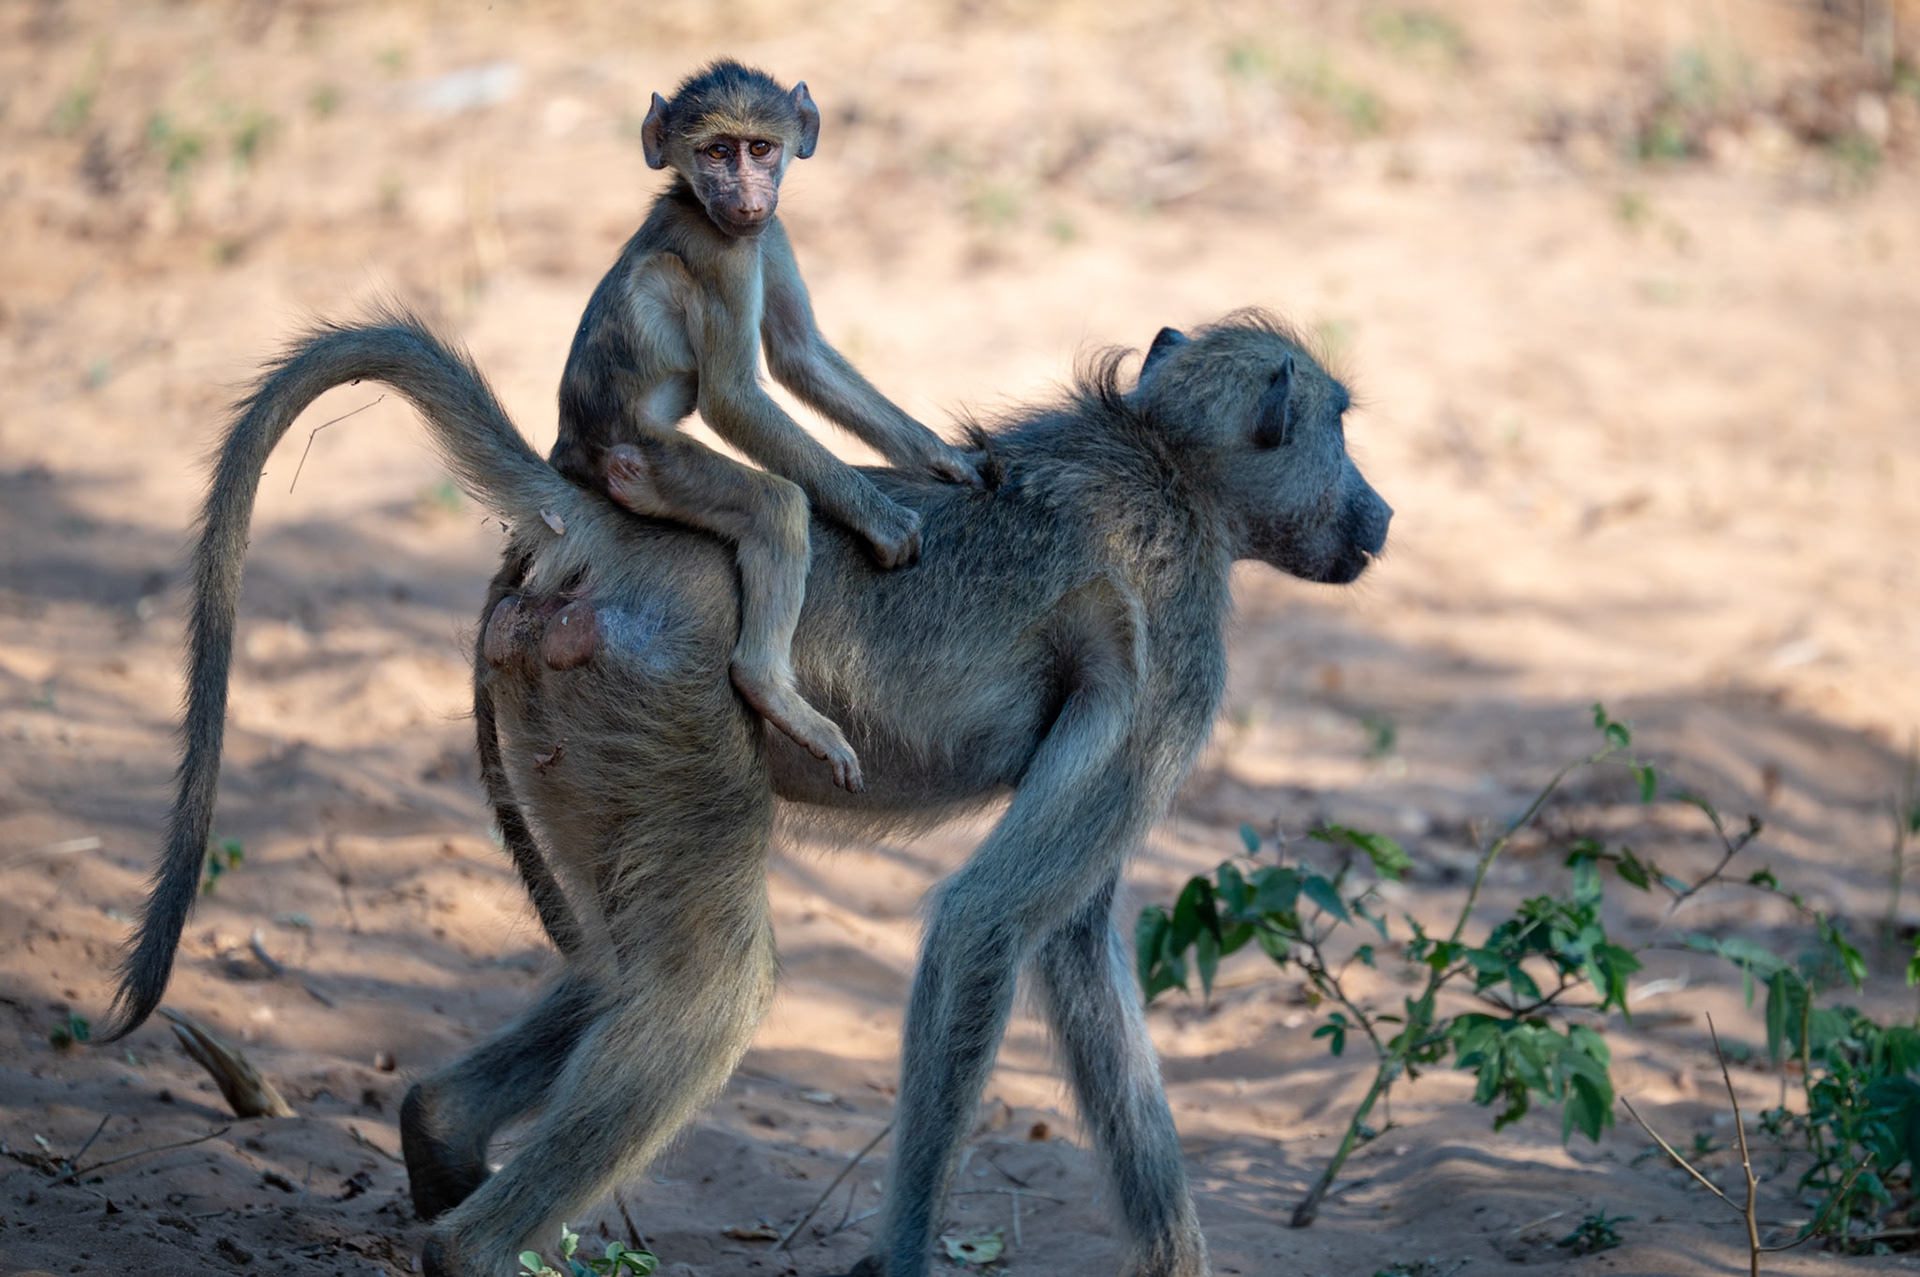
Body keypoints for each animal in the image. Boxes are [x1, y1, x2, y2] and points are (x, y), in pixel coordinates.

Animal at [99, 306, 1390, 1277]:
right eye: (1337, 428)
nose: (1380, 513)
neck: (1166, 460)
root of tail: (601, 529)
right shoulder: (1181, 654)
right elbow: (988, 922)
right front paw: (901, 1260)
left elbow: (1068, 935)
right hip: (661, 696)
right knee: (714, 983)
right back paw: (474, 1242)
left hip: (578, 727)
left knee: (625, 961)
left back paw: (446, 1127)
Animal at [549, 59, 982, 794]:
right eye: (717, 152)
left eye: (761, 148)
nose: (748, 196)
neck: (698, 204)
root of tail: (569, 444)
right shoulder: (724, 253)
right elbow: (733, 399)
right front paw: (885, 522)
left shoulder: (766, 236)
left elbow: (799, 353)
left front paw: (946, 460)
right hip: (653, 460)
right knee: (776, 506)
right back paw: (771, 690)